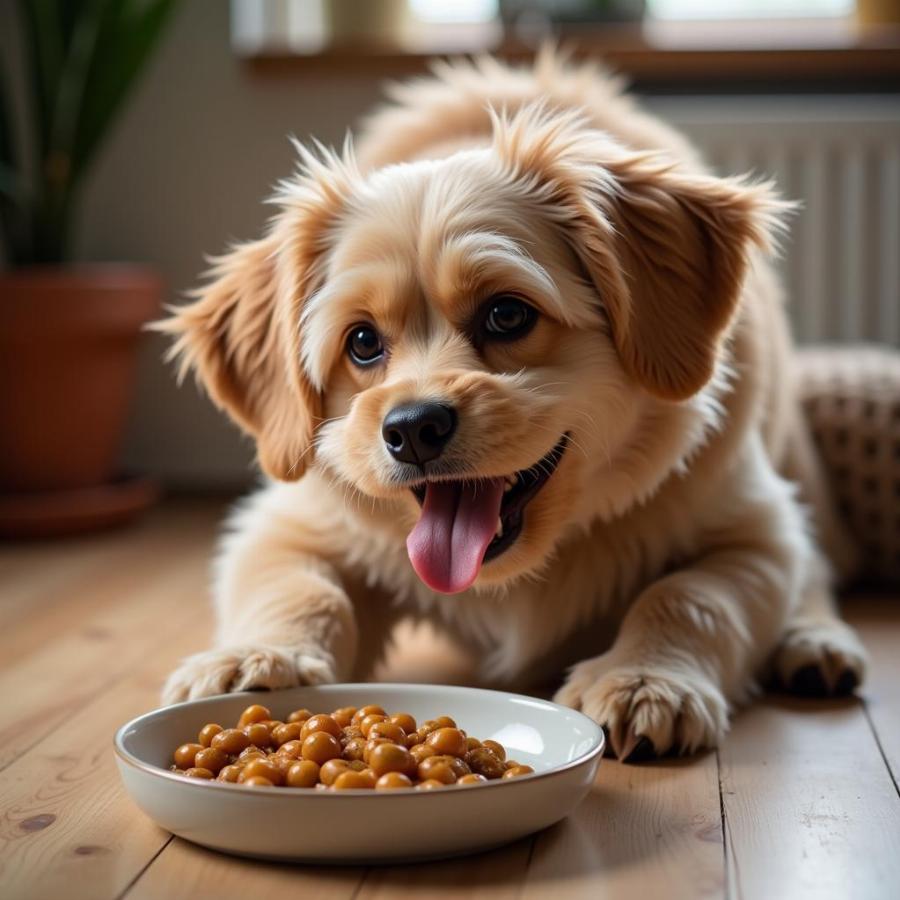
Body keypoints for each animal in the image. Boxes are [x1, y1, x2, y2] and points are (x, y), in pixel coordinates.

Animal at [158, 51, 868, 760]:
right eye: (361, 342)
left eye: (506, 314)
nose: (412, 428)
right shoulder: (285, 524)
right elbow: (302, 589)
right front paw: (258, 659)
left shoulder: (755, 529)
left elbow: (688, 595)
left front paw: (644, 680)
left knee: (818, 570)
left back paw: (816, 644)